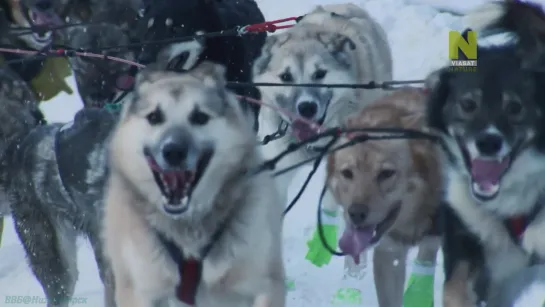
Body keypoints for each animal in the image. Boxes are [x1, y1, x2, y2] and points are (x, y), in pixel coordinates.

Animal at [103, 62, 286, 307]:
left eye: (199, 117)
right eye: (154, 116)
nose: (173, 151)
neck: (187, 228)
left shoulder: (266, 284)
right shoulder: (138, 292)